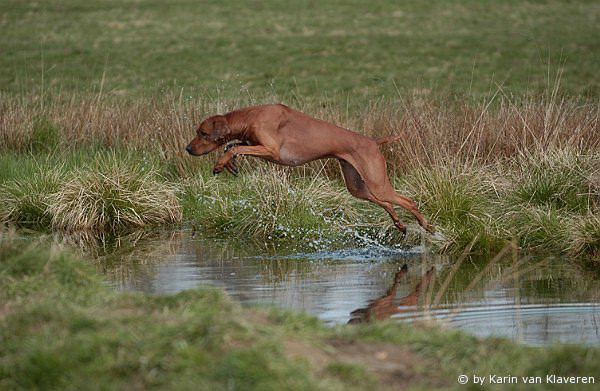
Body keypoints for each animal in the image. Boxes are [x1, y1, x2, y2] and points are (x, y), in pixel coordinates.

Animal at [185, 103, 434, 236]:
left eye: (202, 133)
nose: (188, 148)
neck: (250, 116)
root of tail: (373, 141)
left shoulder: (271, 150)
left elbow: (234, 147)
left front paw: (221, 163)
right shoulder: (254, 144)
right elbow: (233, 146)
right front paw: (229, 164)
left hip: (377, 182)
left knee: (407, 202)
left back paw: (426, 226)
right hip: (358, 187)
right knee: (387, 204)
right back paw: (400, 224)